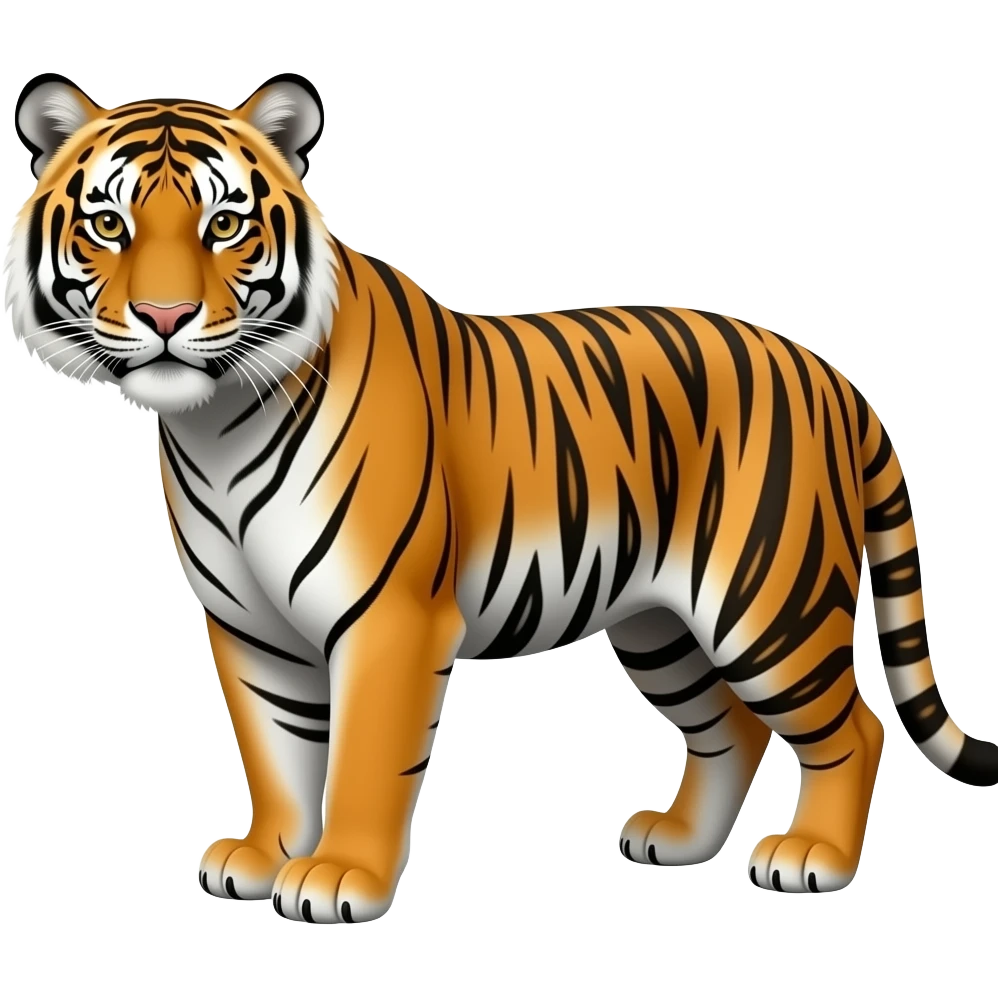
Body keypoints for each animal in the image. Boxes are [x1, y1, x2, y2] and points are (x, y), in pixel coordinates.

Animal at [5, 71, 995, 923]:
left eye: (222, 225)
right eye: (107, 224)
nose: (166, 319)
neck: (216, 425)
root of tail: (831, 375)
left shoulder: (390, 616)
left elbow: (362, 757)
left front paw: (340, 877)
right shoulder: (249, 625)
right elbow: (276, 749)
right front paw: (263, 855)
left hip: (767, 605)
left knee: (855, 727)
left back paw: (813, 859)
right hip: (660, 625)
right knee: (732, 729)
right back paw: (677, 841)